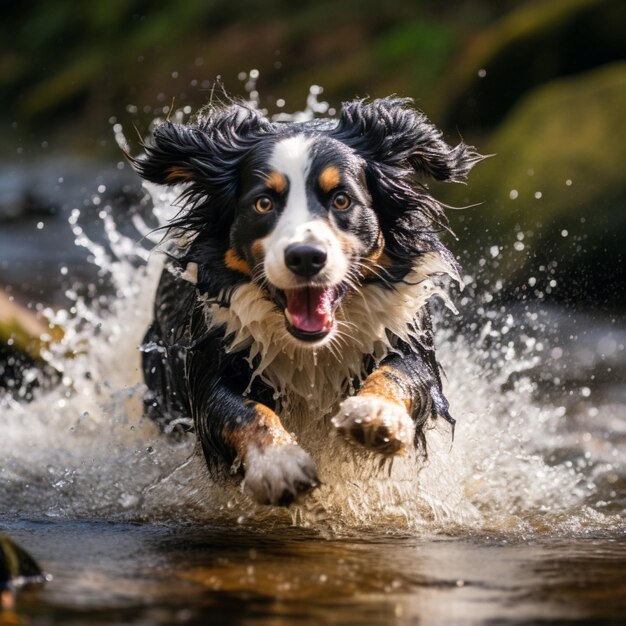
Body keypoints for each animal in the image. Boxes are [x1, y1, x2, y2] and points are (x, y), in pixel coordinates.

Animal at [130, 98, 482, 508]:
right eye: (263, 203)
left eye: (342, 199)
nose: (305, 257)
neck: (312, 351)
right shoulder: (213, 354)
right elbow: (241, 410)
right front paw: (278, 463)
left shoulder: (404, 331)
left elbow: (400, 373)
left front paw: (375, 415)